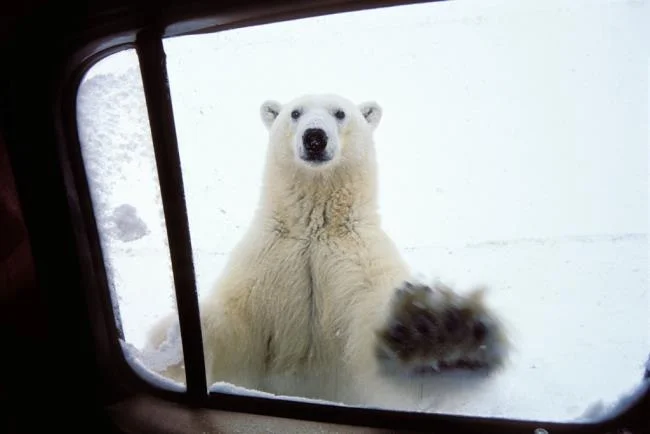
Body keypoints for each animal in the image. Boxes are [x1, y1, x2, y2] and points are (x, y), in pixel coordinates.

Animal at [144, 94, 509, 405]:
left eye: (340, 112)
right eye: (295, 112)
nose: (315, 137)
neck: (315, 228)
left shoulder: (355, 259)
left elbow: (369, 326)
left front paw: (436, 329)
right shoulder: (268, 260)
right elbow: (235, 327)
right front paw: (171, 345)